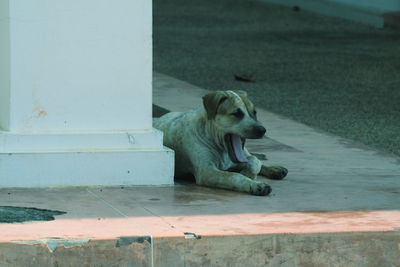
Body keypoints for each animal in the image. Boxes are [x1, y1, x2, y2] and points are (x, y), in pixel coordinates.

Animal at [153, 90, 288, 197]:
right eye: (237, 113)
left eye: (254, 112)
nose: (262, 130)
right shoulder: (207, 171)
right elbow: (234, 176)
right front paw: (254, 184)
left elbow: (255, 162)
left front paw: (250, 174)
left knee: (257, 159)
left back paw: (275, 169)